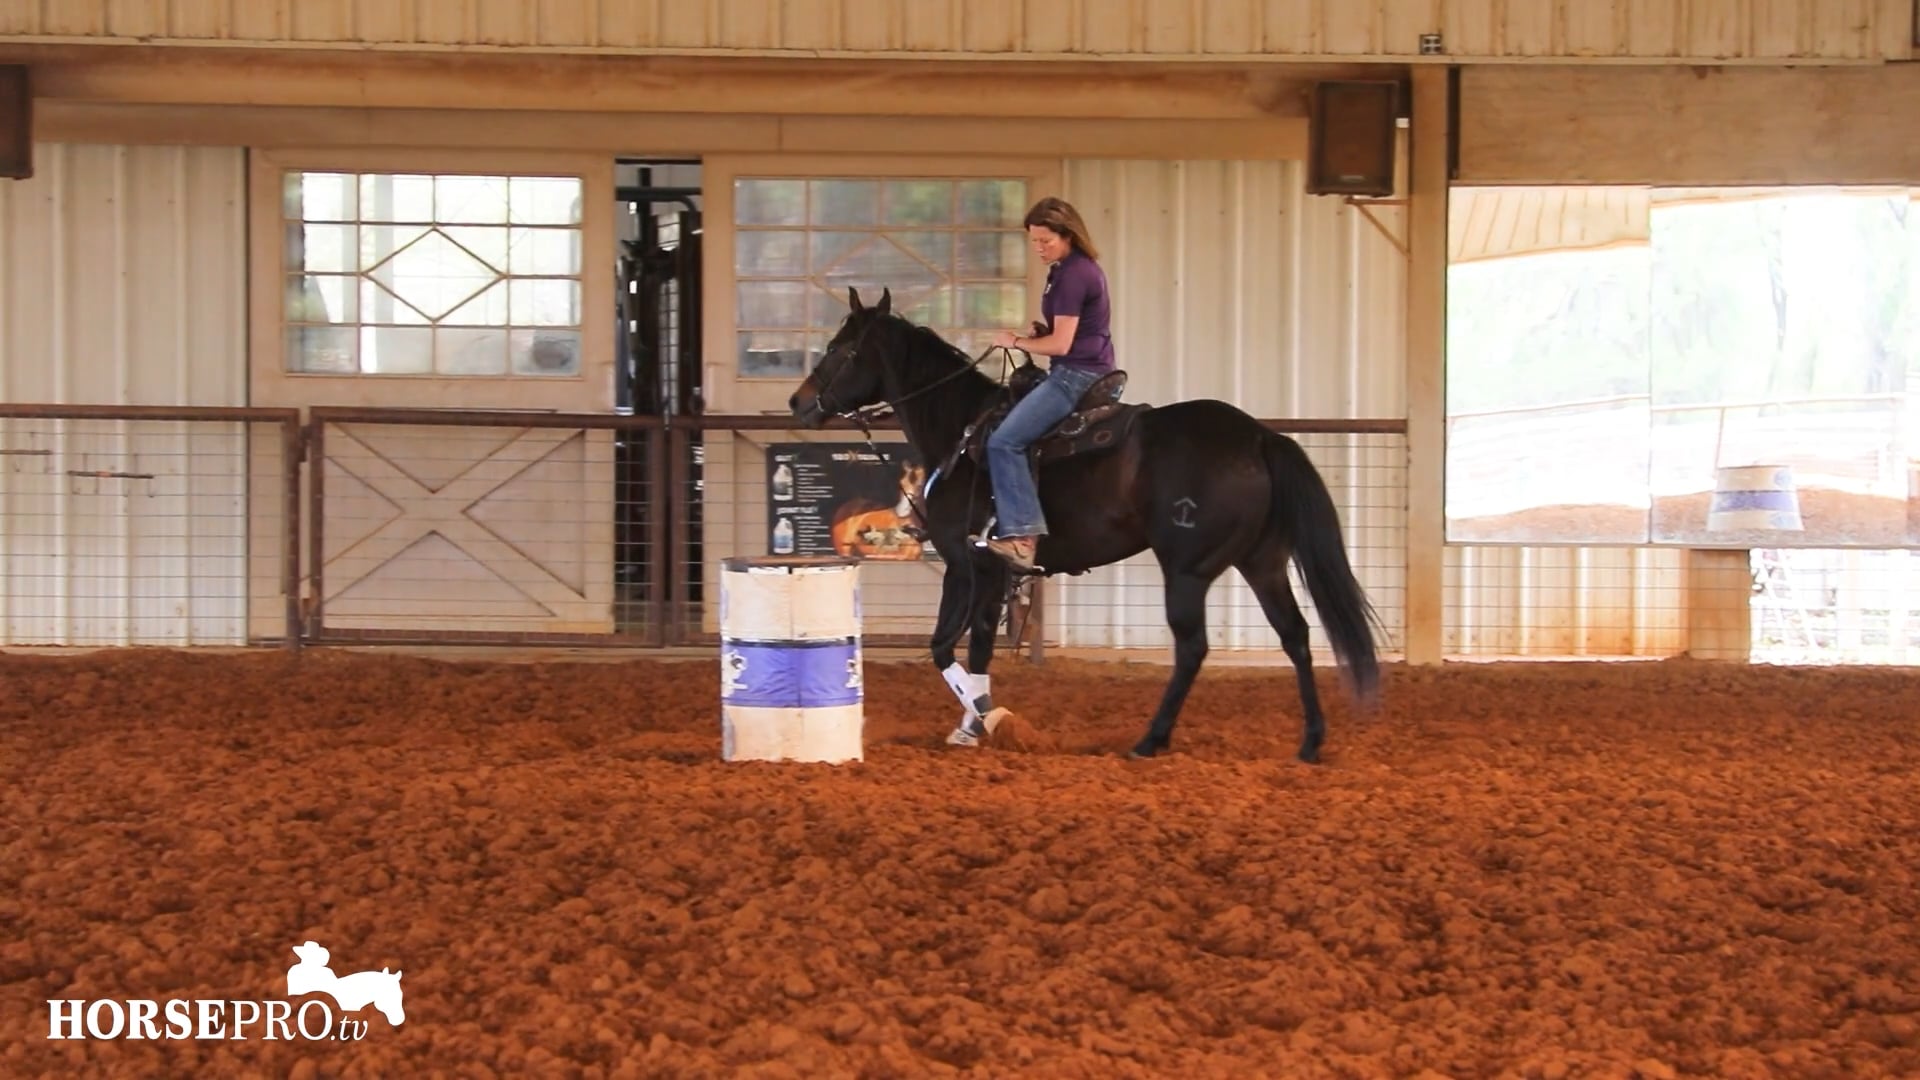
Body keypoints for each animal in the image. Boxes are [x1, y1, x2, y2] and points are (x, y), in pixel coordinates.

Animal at [788, 286, 1382, 763]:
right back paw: (1310, 742)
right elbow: (975, 647)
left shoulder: (967, 565)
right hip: (1262, 562)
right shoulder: (987, 573)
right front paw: (970, 727)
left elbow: (946, 647)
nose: (798, 402)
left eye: (840, 349)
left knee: (1193, 648)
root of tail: (1259, 435)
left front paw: (990, 719)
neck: (961, 434)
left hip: (1187, 570)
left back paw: (1150, 740)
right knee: (1296, 636)